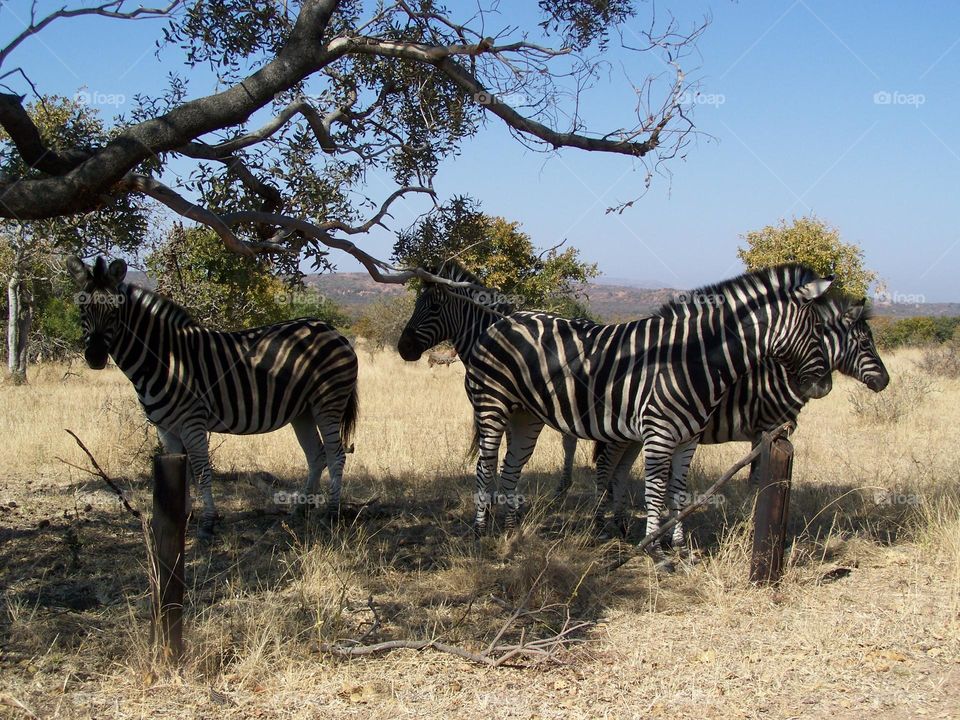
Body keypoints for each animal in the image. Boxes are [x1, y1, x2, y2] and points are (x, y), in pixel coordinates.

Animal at [66, 256, 359, 540]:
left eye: (114, 312)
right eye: (81, 309)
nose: (95, 358)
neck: (165, 358)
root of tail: (331, 329)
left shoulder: (193, 422)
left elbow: (202, 472)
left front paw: (207, 525)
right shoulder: (165, 428)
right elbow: (181, 474)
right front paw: (182, 519)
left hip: (328, 402)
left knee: (335, 454)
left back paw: (331, 513)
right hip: (303, 411)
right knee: (317, 455)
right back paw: (301, 509)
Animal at [463, 264, 835, 540]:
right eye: (818, 329)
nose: (825, 386)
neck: (694, 359)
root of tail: (503, 321)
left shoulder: (689, 439)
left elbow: (678, 490)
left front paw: (679, 548)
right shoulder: (659, 434)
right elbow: (654, 490)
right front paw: (654, 548)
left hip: (526, 415)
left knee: (511, 467)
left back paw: (511, 531)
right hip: (492, 404)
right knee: (485, 465)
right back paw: (481, 531)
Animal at [591, 297, 889, 543]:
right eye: (865, 343)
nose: (885, 381)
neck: (777, 374)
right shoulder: (765, 429)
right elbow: (757, 480)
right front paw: (750, 521)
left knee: (620, 470)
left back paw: (620, 526)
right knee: (606, 466)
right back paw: (601, 526)